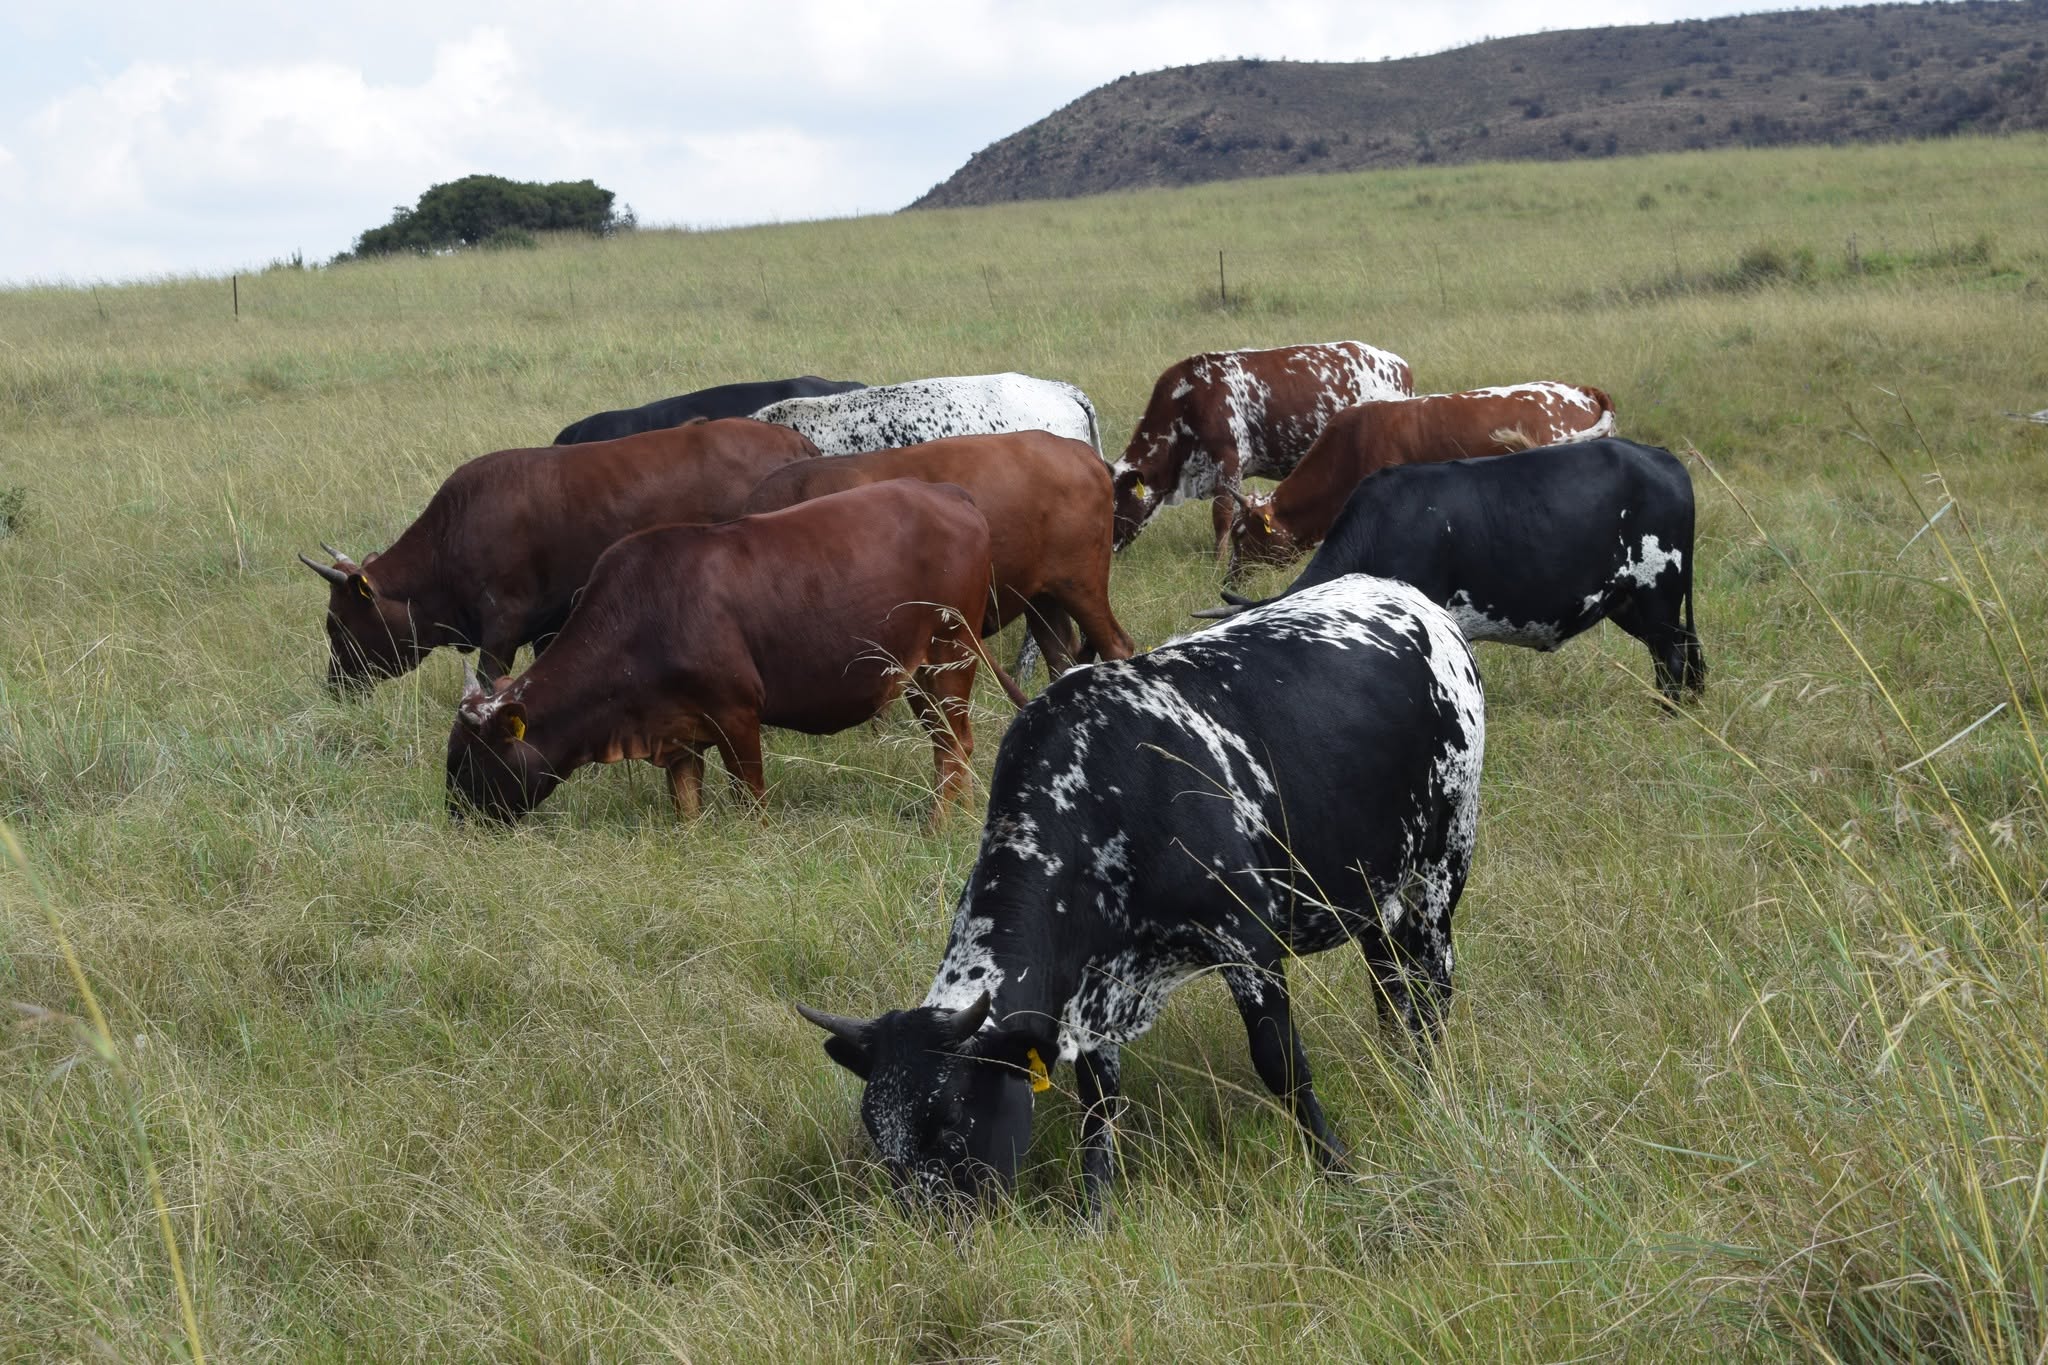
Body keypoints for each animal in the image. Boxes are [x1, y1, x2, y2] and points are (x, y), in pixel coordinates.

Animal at [299, 418, 818, 691]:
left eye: (337, 624)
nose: (334, 687)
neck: (450, 535)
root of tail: (795, 441)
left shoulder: (502, 624)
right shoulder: (545, 626)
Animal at [446, 480, 1029, 827]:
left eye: (473, 758)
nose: (455, 817)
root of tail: (948, 494)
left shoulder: (737, 716)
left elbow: (753, 802)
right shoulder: (678, 735)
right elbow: (687, 808)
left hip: (949, 659)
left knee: (953, 747)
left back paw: (938, 824)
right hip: (917, 674)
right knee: (950, 745)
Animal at [796, 573, 1485, 1214]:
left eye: (952, 1123)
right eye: (882, 1139)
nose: (936, 1232)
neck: (1098, 796)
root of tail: (1405, 594)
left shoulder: (1247, 941)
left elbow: (1282, 1065)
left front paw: (1337, 1170)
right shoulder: (1094, 986)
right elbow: (1097, 1105)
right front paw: (1093, 1211)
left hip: (1442, 868)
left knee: (1434, 984)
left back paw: (1427, 1085)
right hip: (1377, 885)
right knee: (1389, 980)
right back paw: (1398, 1061)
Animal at [1109, 341, 1413, 553]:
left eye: (1116, 504)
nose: (1109, 545)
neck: (1187, 400)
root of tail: (1398, 363)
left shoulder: (1228, 465)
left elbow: (1222, 519)